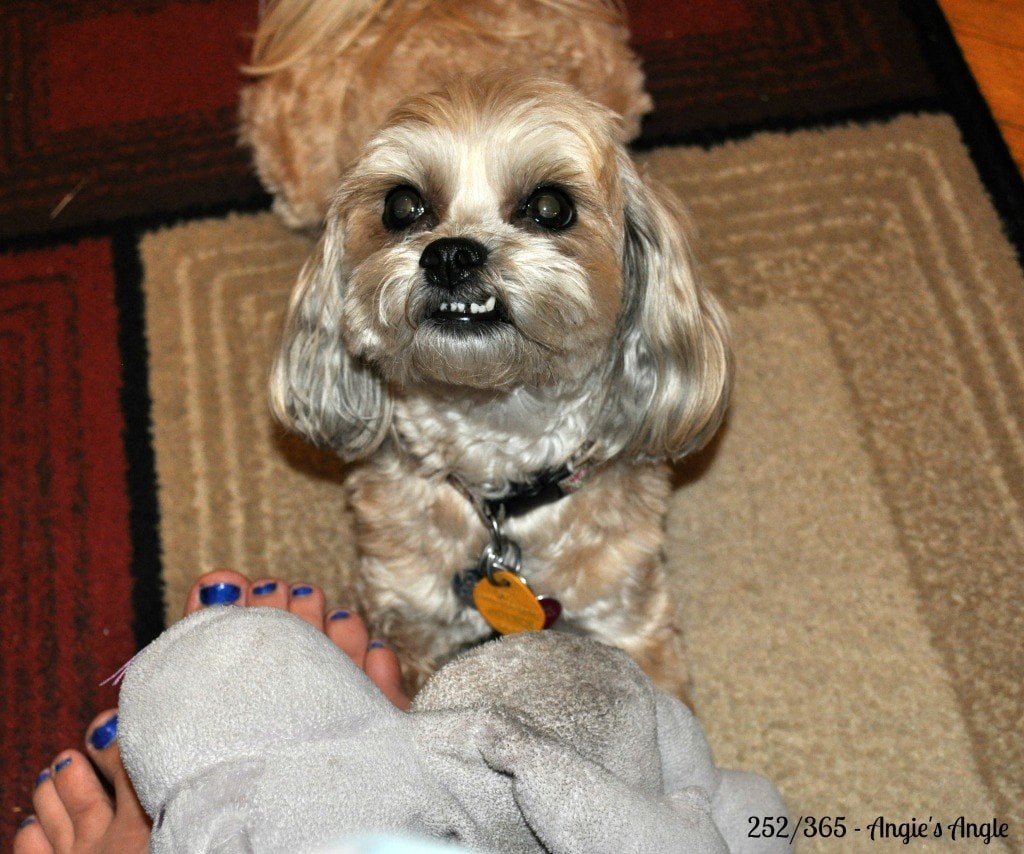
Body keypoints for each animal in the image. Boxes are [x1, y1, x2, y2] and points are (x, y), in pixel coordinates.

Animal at [244, 1, 733, 700]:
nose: (450, 254)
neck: (497, 463)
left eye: (550, 206)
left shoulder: (631, 618)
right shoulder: (405, 614)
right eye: (402, 205)